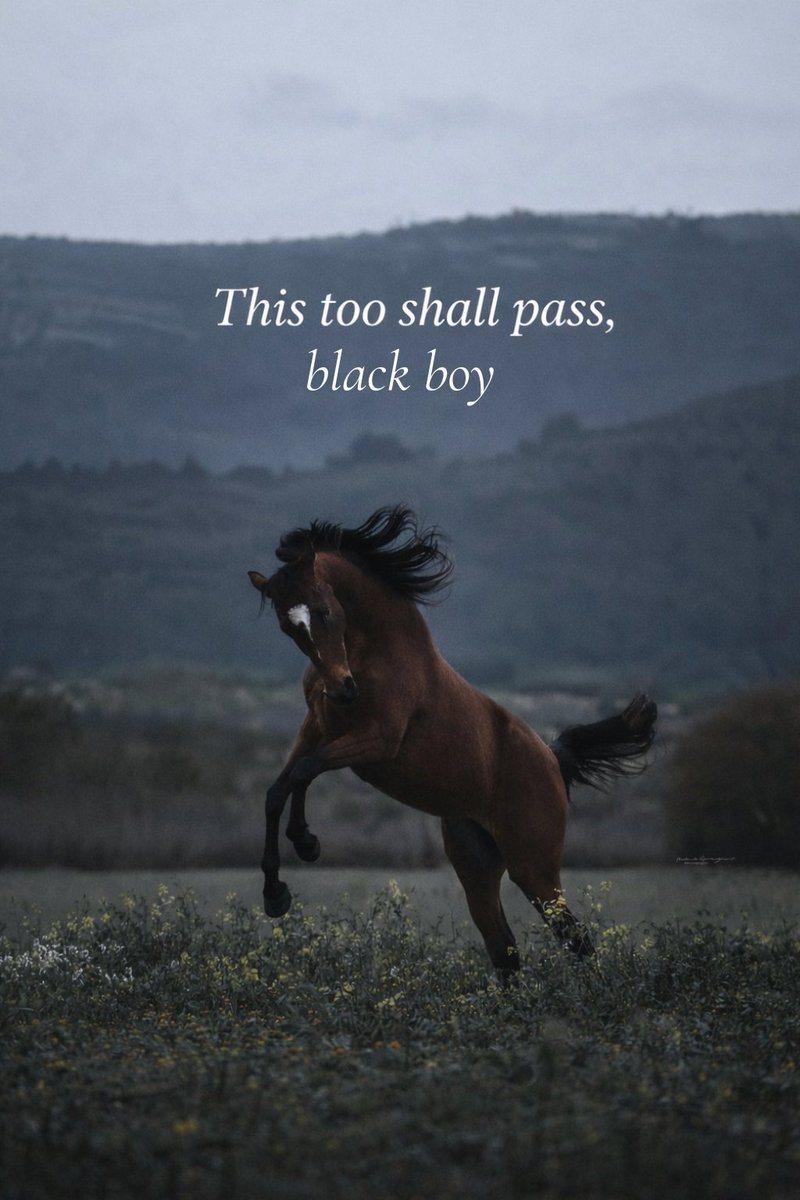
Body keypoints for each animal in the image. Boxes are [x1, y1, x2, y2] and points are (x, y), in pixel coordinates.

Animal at [248, 505, 656, 973]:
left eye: (325, 611)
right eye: (287, 626)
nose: (342, 688)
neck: (377, 651)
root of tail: (554, 760)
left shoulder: (376, 741)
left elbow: (304, 772)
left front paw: (305, 845)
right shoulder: (316, 727)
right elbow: (280, 788)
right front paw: (276, 892)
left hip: (534, 868)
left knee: (578, 940)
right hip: (477, 868)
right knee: (506, 952)